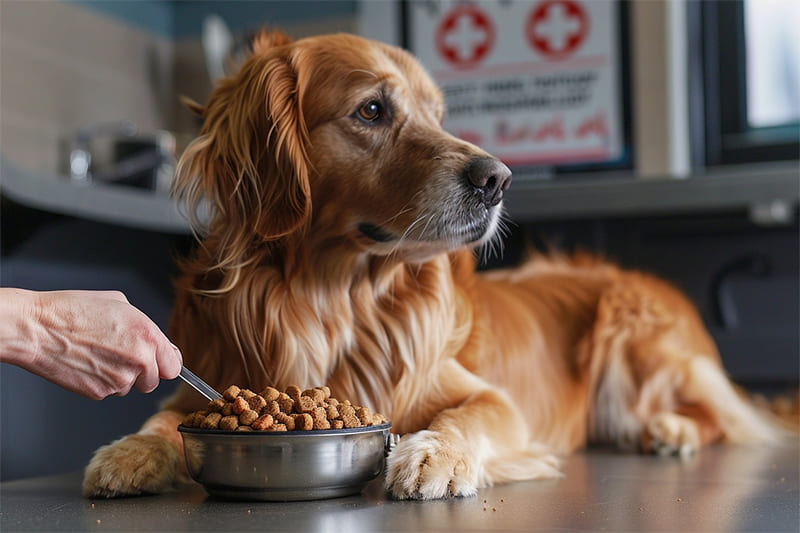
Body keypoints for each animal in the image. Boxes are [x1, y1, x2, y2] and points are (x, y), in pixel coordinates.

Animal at [83, 30, 780, 498]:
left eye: (439, 116)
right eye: (372, 110)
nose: (499, 179)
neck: (332, 300)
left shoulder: (493, 399)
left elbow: (462, 416)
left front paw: (434, 455)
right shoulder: (213, 379)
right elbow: (165, 414)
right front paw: (131, 450)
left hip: (631, 339)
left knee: (724, 419)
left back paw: (672, 429)